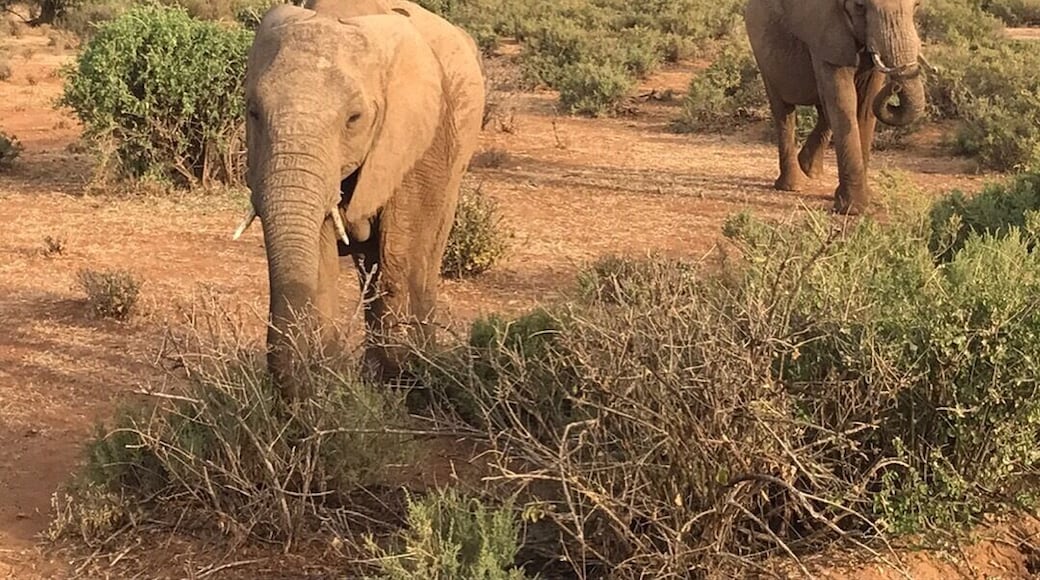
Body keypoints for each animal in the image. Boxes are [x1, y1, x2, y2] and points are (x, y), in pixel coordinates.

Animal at [234, 1, 485, 398]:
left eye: (354, 119)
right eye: (253, 112)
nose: (290, 395)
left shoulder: (416, 136)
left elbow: (399, 254)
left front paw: (399, 385)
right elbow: (320, 256)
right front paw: (327, 384)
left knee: (422, 255)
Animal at [744, 0, 925, 214]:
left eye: (917, 5)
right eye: (860, 6)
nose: (895, 86)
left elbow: (866, 104)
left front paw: (865, 199)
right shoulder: (826, 34)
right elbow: (843, 99)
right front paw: (853, 209)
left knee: (824, 110)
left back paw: (809, 169)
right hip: (762, 53)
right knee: (784, 112)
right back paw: (792, 185)